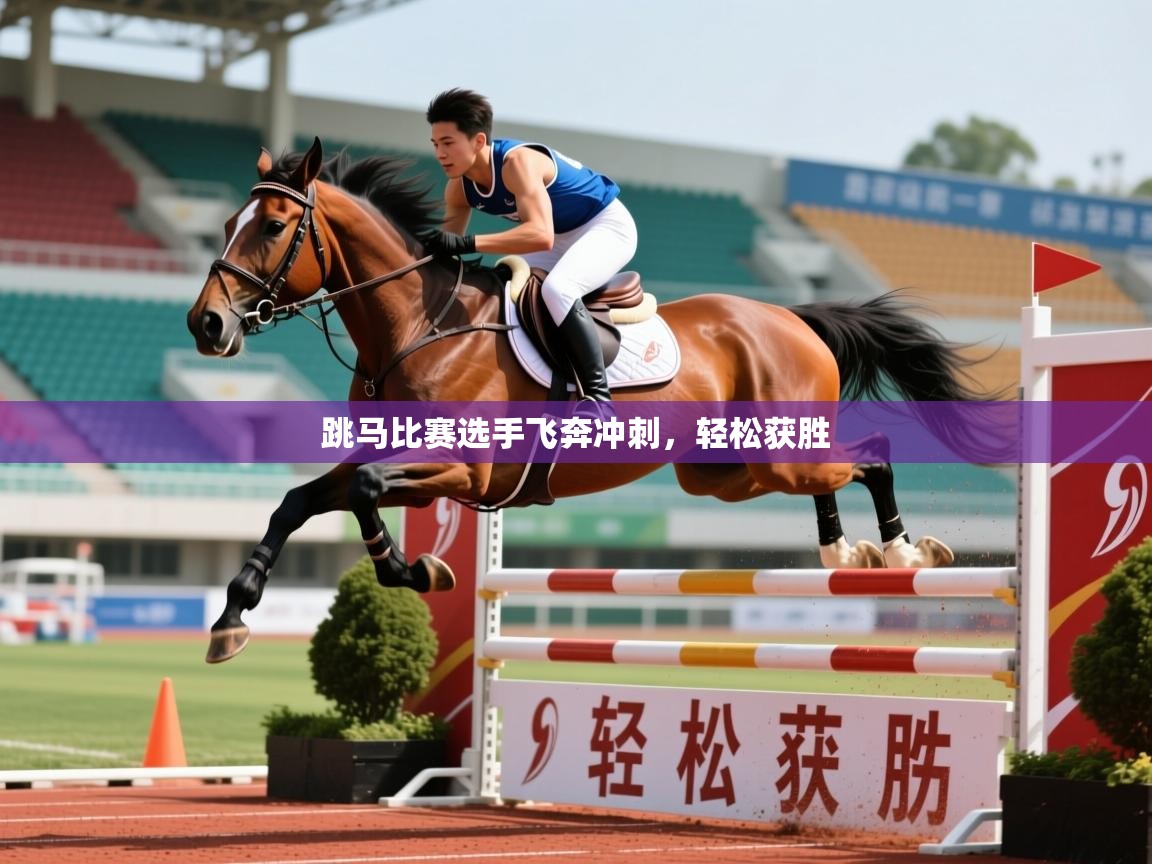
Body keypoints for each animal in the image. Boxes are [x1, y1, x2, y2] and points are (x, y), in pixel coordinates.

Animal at [188, 137, 997, 664]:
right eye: (225, 224)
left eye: (273, 227)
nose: (206, 324)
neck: (419, 326)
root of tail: (794, 317)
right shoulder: (388, 456)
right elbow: (298, 501)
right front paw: (232, 615)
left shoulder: (462, 472)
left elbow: (361, 490)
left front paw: (415, 571)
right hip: (724, 474)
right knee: (830, 472)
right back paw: (844, 548)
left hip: (767, 455)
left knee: (871, 456)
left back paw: (902, 548)